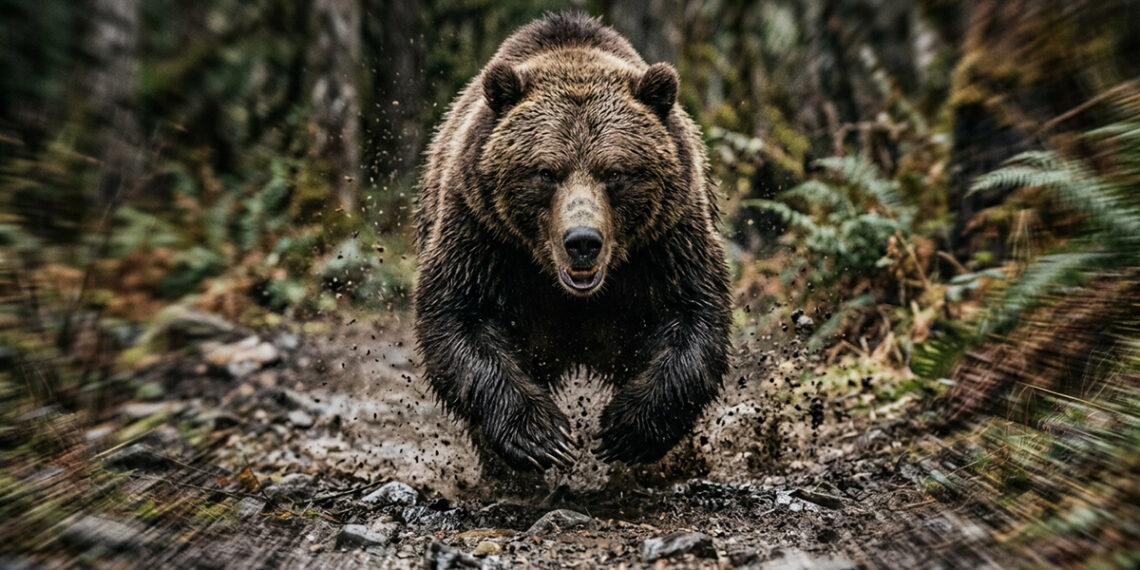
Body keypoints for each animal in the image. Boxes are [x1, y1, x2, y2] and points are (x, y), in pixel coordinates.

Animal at [414, 12, 731, 472]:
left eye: (615, 172)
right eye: (546, 172)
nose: (583, 241)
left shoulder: (666, 238)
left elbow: (692, 313)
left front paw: (625, 431)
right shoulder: (483, 233)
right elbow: (460, 316)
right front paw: (542, 437)